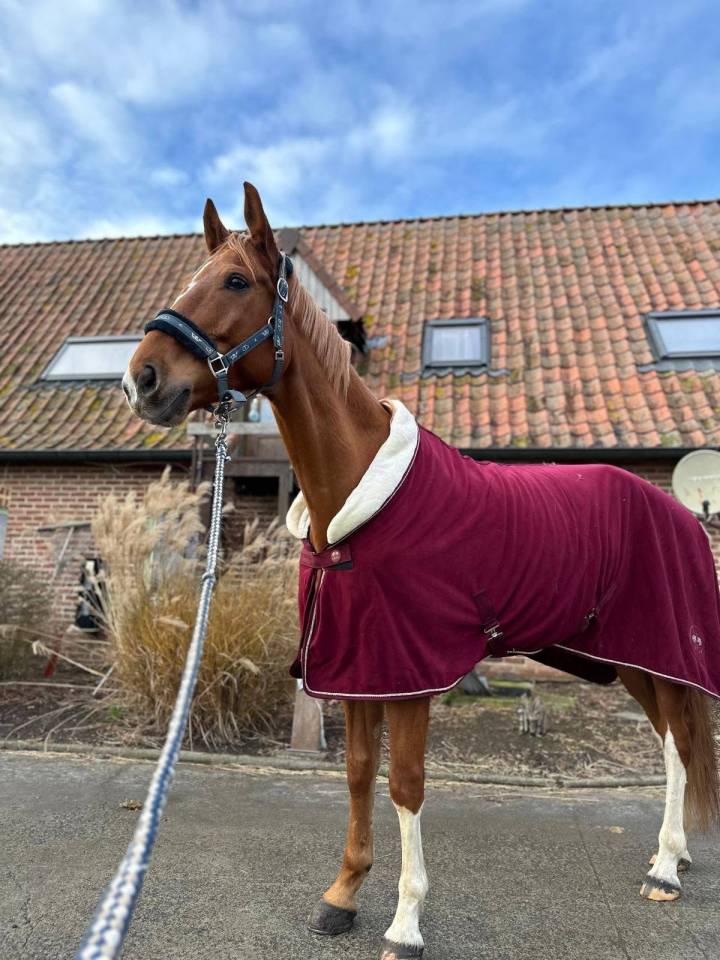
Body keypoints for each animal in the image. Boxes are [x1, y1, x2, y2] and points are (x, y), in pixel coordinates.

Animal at [124, 182, 720, 960]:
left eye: (233, 282)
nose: (142, 379)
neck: (357, 499)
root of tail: (683, 514)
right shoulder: (358, 666)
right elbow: (356, 772)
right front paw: (343, 895)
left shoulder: (410, 673)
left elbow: (405, 784)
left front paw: (405, 922)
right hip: (625, 658)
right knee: (674, 744)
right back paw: (667, 857)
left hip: (660, 654)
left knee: (679, 745)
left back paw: (667, 868)